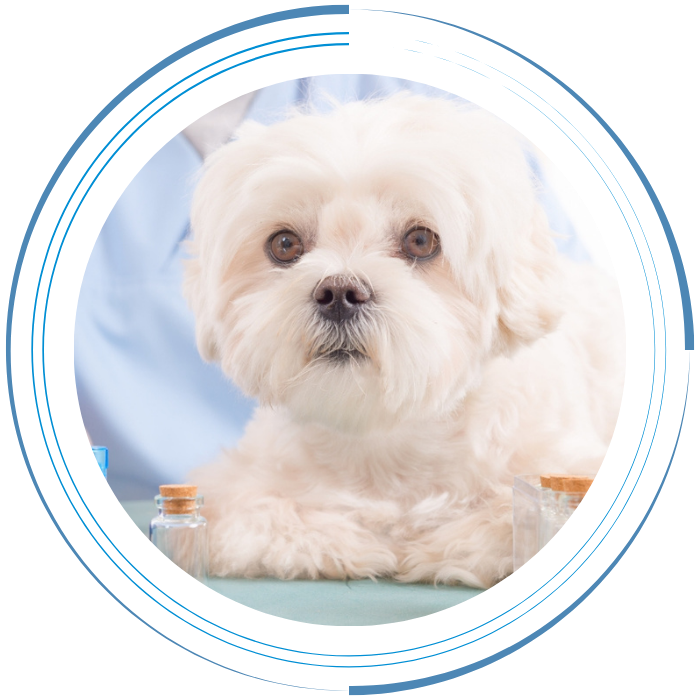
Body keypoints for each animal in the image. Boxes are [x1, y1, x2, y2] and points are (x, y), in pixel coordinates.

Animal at [183, 90, 628, 588]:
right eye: (284, 245)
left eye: (420, 241)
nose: (339, 293)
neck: (387, 437)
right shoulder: (237, 485)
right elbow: (257, 512)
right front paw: (346, 540)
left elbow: (528, 514)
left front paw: (442, 544)